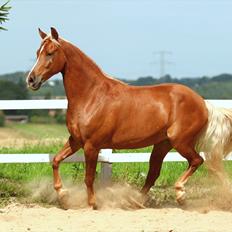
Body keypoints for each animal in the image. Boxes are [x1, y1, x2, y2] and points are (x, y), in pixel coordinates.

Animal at [26, 26, 232, 208]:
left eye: (50, 53)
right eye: (37, 52)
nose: (31, 80)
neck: (92, 95)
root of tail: (203, 102)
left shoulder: (92, 145)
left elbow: (88, 177)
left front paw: (92, 203)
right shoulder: (76, 141)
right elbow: (56, 160)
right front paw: (63, 195)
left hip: (180, 141)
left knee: (197, 161)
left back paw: (180, 194)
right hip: (163, 144)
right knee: (154, 173)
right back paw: (135, 201)